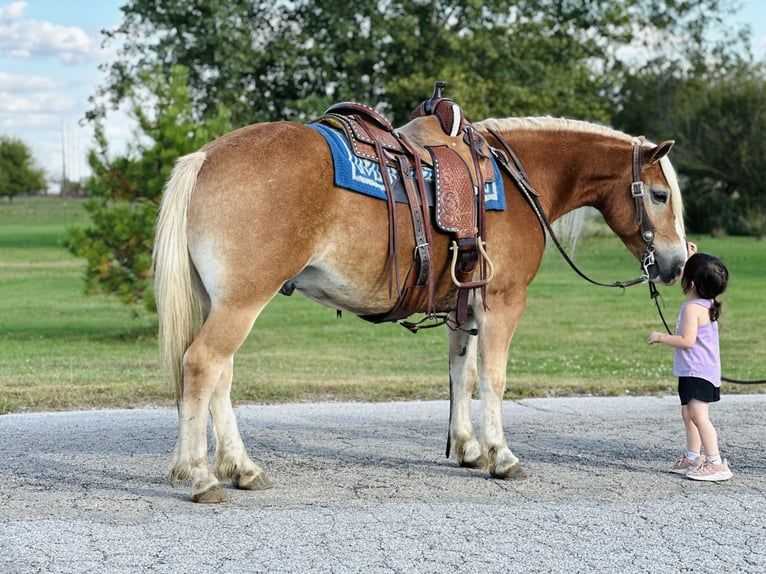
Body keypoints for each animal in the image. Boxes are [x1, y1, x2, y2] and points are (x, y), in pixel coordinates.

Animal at [153, 113, 688, 504]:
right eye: (659, 195)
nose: (678, 263)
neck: (518, 182)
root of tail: (206, 156)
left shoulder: (465, 307)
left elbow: (462, 374)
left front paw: (468, 447)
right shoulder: (503, 302)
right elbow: (494, 379)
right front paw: (501, 454)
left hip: (222, 302)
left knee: (219, 376)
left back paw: (241, 468)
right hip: (241, 303)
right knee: (202, 366)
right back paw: (200, 475)